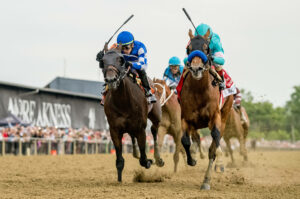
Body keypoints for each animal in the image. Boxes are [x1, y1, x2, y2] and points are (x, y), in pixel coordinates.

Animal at [101, 45, 162, 182]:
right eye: (103, 61)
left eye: (120, 60)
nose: (111, 79)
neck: (123, 102)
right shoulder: (114, 130)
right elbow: (119, 160)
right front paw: (119, 180)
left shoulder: (141, 128)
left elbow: (144, 159)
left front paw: (149, 161)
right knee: (133, 136)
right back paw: (136, 153)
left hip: (156, 115)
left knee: (154, 130)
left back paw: (158, 158)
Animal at [180, 33, 234, 190]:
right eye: (189, 48)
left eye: (206, 48)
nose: (196, 68)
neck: (199, 91)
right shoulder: (186, 118)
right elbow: (185, 140)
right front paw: (192, 160)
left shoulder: (215, 117)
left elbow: (214, 142)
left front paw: (215, 170)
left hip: (224, 116)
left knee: (215, 143)